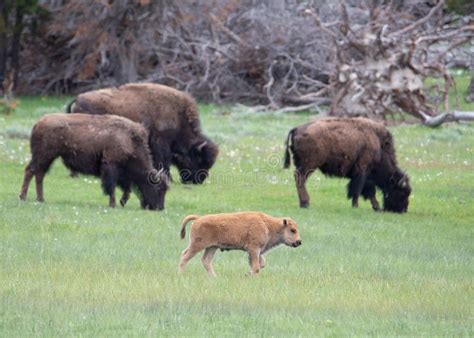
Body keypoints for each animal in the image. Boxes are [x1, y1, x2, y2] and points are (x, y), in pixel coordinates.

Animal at [19, 113, 170, 209]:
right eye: (158, 188)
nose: (160, 208)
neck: (130, 140)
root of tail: (38, 123)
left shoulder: (123, 174)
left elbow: (125, 188)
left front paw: (122, 201)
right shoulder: (110, 166)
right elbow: (111, 186)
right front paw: (113, 204)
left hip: (48, 158)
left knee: (39, 174)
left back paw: (40, 199)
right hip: (43, 156)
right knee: (30, 171)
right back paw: (23, 197)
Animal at [66, 84, 218, 185]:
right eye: (200, 160)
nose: (198, 180)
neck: (178, 116)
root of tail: (78, 99)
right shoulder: (160, 142)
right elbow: (163, 160)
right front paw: (168, 178)